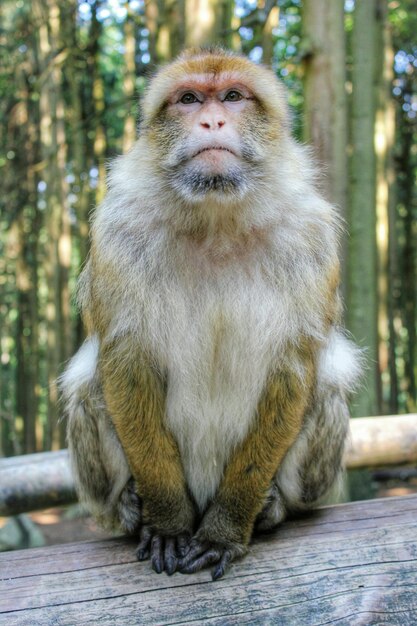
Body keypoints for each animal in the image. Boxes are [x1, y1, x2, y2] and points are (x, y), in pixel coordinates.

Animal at [59, 47, 360, 580]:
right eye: (189, 99)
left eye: (234, 97)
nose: (212, 120)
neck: (217, 218)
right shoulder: (119, 233)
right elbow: (125, 360)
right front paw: (169, 523)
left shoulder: (312, 239)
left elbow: (294, 368)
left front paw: (226, 528)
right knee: (88, 385)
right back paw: (129, 507)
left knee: (326, 382)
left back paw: (273, 507)